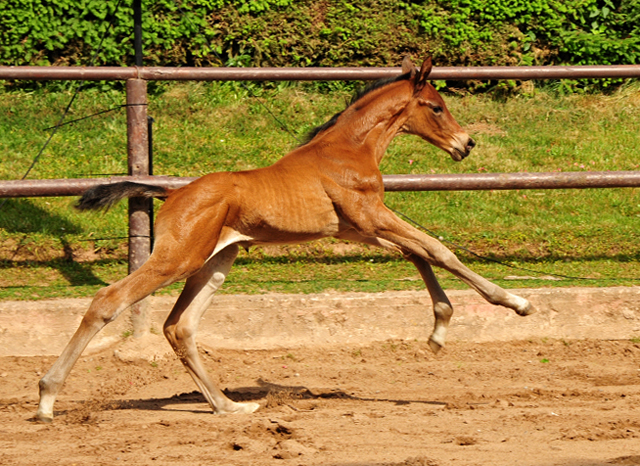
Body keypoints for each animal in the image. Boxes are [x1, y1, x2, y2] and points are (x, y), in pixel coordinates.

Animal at [36, 57, 536, 422]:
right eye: (436, 107)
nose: (466, 144)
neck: (347, 150)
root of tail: (174, 193)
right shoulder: (372, 216)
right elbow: (436, 248)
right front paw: (515, 303)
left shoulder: (360, 228)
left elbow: (416, 253)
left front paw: (438, 330)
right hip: (176, 258)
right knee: (109, 301)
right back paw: (46, 399)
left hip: (216, 262)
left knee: (180, 326)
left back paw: (228, 406)